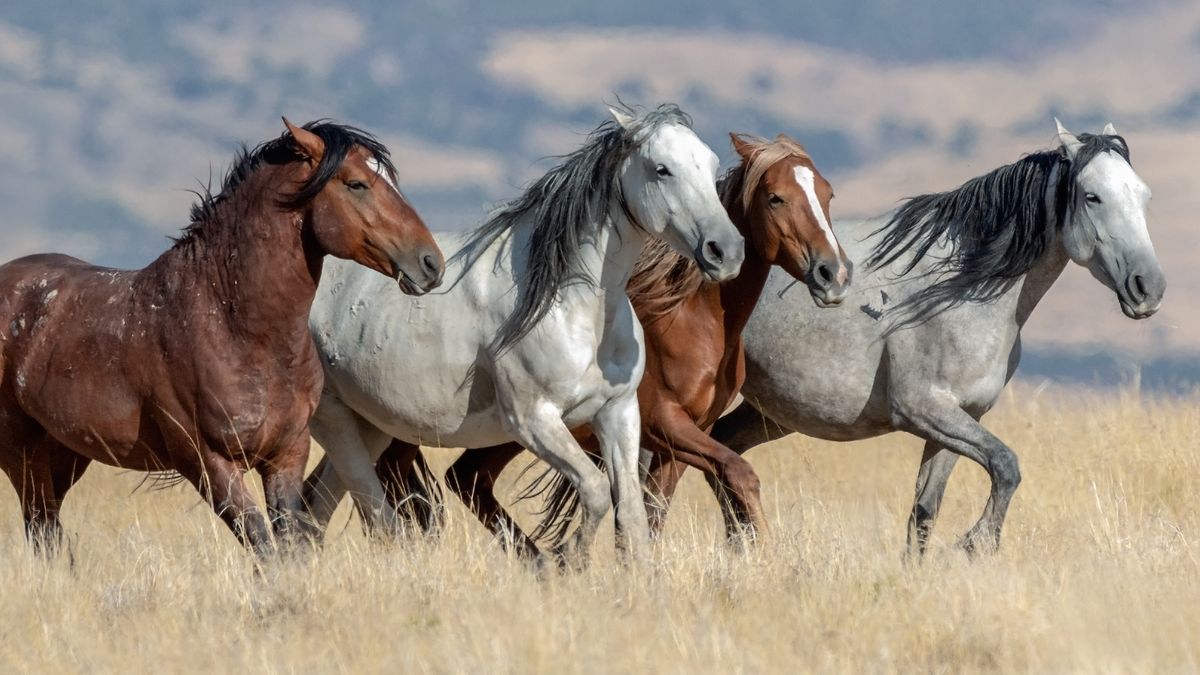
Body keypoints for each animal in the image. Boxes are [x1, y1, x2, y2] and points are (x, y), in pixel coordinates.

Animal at [0, 118, 444, 554]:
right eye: (356, 184)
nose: (431, 264)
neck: (234, 328)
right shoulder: (208, 463)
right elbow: (262, 544)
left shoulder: (286, 455)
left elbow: (289, 545)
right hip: (23, 453)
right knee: (41, 527)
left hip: (66, 452)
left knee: (48, 530)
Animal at [300, 102, 744, 559]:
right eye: (662, 169)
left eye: (712, 165)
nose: (725, 251)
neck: (573, 307)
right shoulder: (534, 421)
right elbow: (595, 490)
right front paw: (567, 559)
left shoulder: (618, 413)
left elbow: (632, 516)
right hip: (335, 420)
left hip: (370, 425)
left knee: (314, 507)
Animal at [360, 132, 849, 552]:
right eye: (776, 197)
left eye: (827, 195)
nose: (834, 274)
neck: (693, 320)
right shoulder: (665, 423)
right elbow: (739, 472)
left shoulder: (684, 437)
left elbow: (654, 510)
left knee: (466, 480)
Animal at [648, 119, 1161, 552]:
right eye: (1092, 196)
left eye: (1143, 195)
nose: (1148, 288)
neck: (961, 290)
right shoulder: (924, 410)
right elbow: (1007, 466)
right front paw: (977, 543)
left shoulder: (960, 418)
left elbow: (925, 511)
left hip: (769, 413)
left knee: (724, 455)